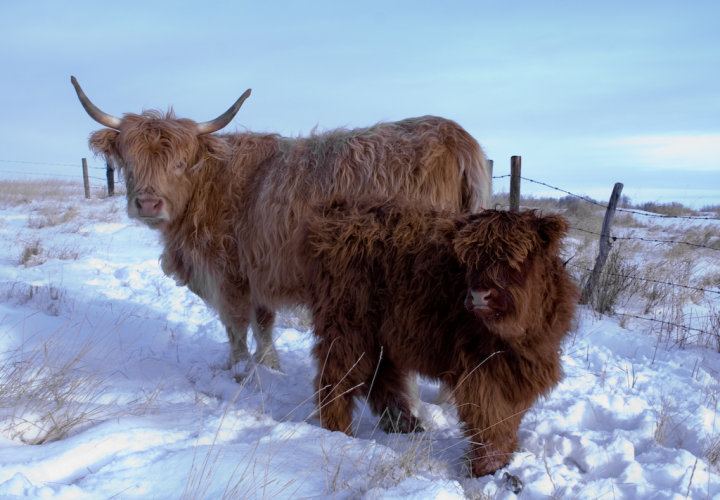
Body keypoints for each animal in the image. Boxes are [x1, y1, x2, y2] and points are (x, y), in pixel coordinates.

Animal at [70, 77, 492, 376]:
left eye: (179, 162)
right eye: (130, 160)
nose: (148, 203)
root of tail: (454, 135)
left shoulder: (228, 275)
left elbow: (236, 326)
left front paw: (238, 369)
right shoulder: (260, 272)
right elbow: (264, 324)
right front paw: (269, 366)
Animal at [298, 196, 580, 476]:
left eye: (513, 258)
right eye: (469, 260)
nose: (480, 295)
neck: (518, 335)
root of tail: (338, 211)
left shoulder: (521, 372)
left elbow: (510, 419)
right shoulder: (481, 370)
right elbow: (491, 420)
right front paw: (488, 468)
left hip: (380, 336)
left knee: (381, 375)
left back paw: (405, 425)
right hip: (347, 329)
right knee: (336, 376)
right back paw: (339, 431)